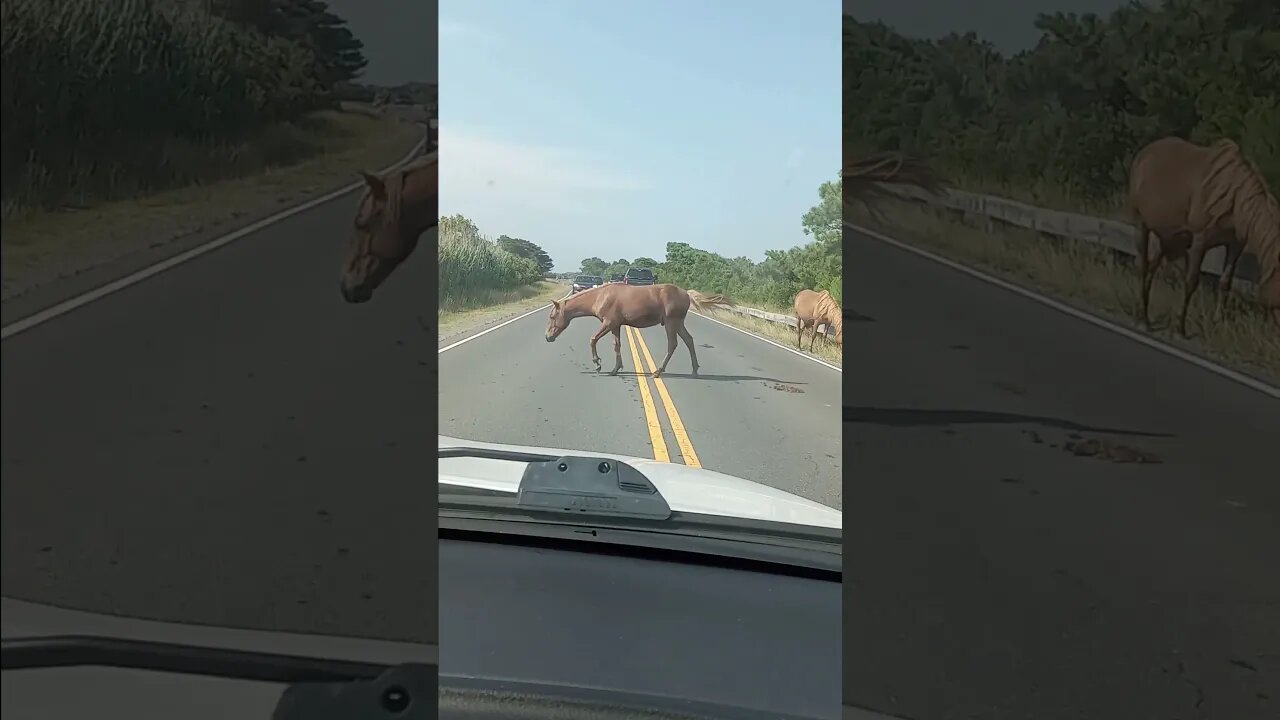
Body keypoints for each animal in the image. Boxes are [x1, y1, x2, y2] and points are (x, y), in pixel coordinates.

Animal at [545, 283, 737, 379]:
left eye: (553, 316)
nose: (547, 337)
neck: (601, 296)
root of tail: (686, 294)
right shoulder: (616, 326)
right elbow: (617, 346)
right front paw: (615, 368)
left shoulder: (608, 323)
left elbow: (592, 339)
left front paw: (598, 364)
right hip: (679, 323)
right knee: (688, 340)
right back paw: (695, 370)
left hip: (671, 322)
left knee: (673, 344)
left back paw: (658, 371)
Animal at [1131, 135, 1280, 333]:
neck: (1233, 198)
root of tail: (1144, 152)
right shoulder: (1200, 241)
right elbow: (1191, 281)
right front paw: (1180, 328)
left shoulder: (1235, 245)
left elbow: (1225, 282)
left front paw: (1218, 322)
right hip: (1142, 223)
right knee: (1143, 265)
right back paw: (1142, 319)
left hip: (1169, 237)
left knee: (1153, 265)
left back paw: (1145, 314)